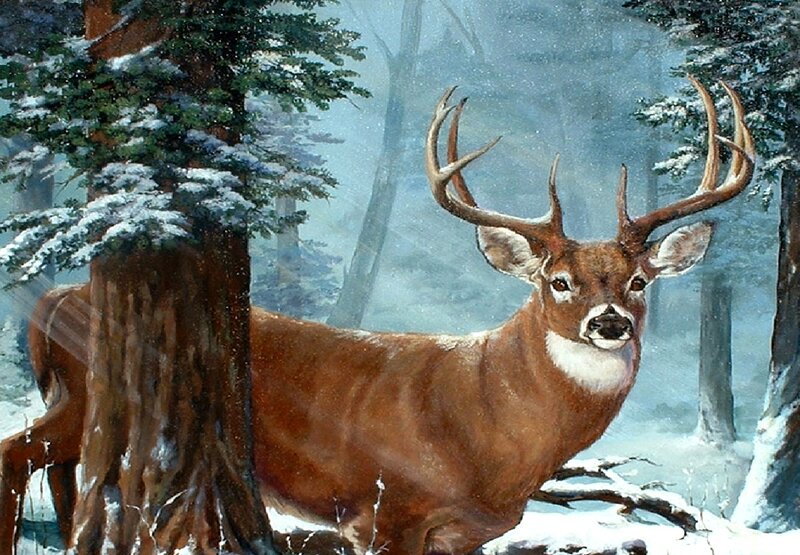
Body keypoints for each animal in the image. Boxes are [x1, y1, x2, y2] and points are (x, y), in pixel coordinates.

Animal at [0, 78, 754, 555]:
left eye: (639, 281)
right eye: (558, 281)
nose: (609, 322)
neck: (489, 426)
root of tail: (52, 301)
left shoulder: (463, 533)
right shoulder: (386, 510)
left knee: (69, 479)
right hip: (93, 393)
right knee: (20, 453)